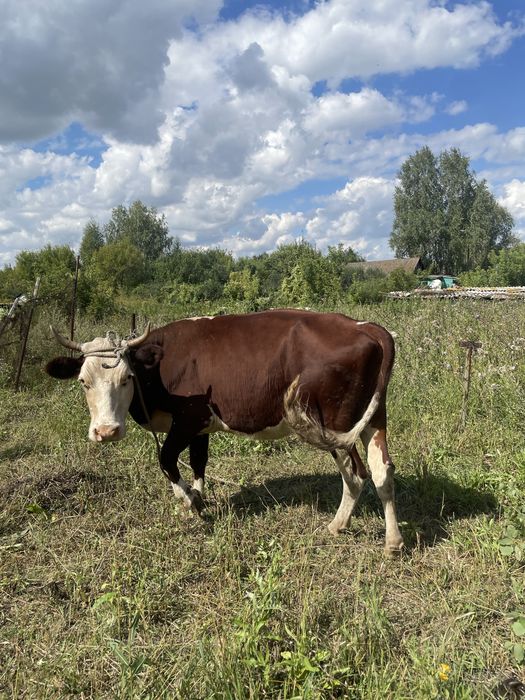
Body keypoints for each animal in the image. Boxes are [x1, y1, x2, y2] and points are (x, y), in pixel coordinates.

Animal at [45, 309, 404, 554]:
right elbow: (198, 462)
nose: (106, 431)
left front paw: (190, 501)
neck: (158, 366)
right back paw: (393, 540)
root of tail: (363, 326)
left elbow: (166, 460)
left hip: (335, 426)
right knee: (382, 471)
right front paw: (199, 497)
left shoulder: (187, 420)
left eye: (126, 378)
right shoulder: (200, 426)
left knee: (356, 475)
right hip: (373, 418)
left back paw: (338, 525)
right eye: (83, 381)